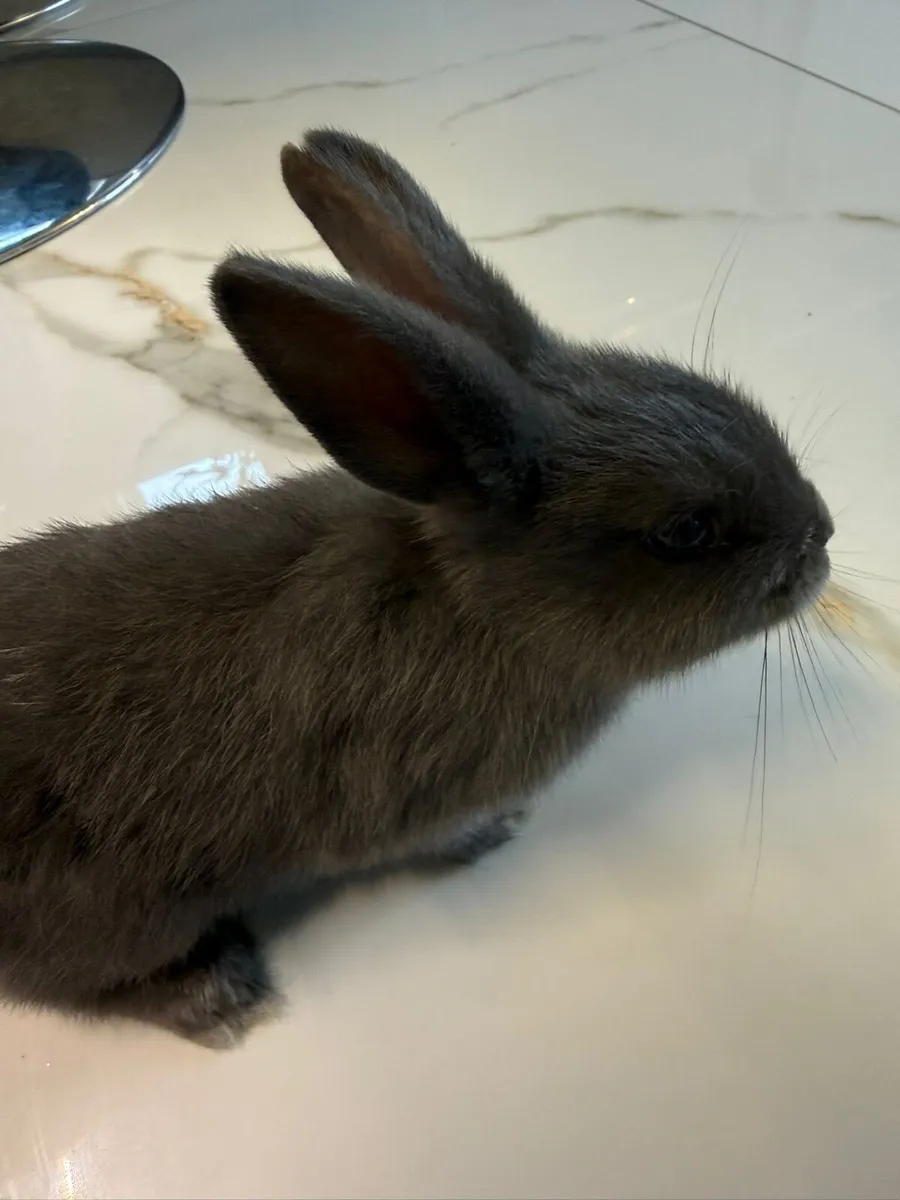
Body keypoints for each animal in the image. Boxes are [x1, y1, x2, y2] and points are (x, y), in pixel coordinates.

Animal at [0, 129, 833, 1046]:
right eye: (684, 533)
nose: (823, 537)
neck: (479, 608)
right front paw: (495, 830)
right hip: (120, 911)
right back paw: (222, 997)